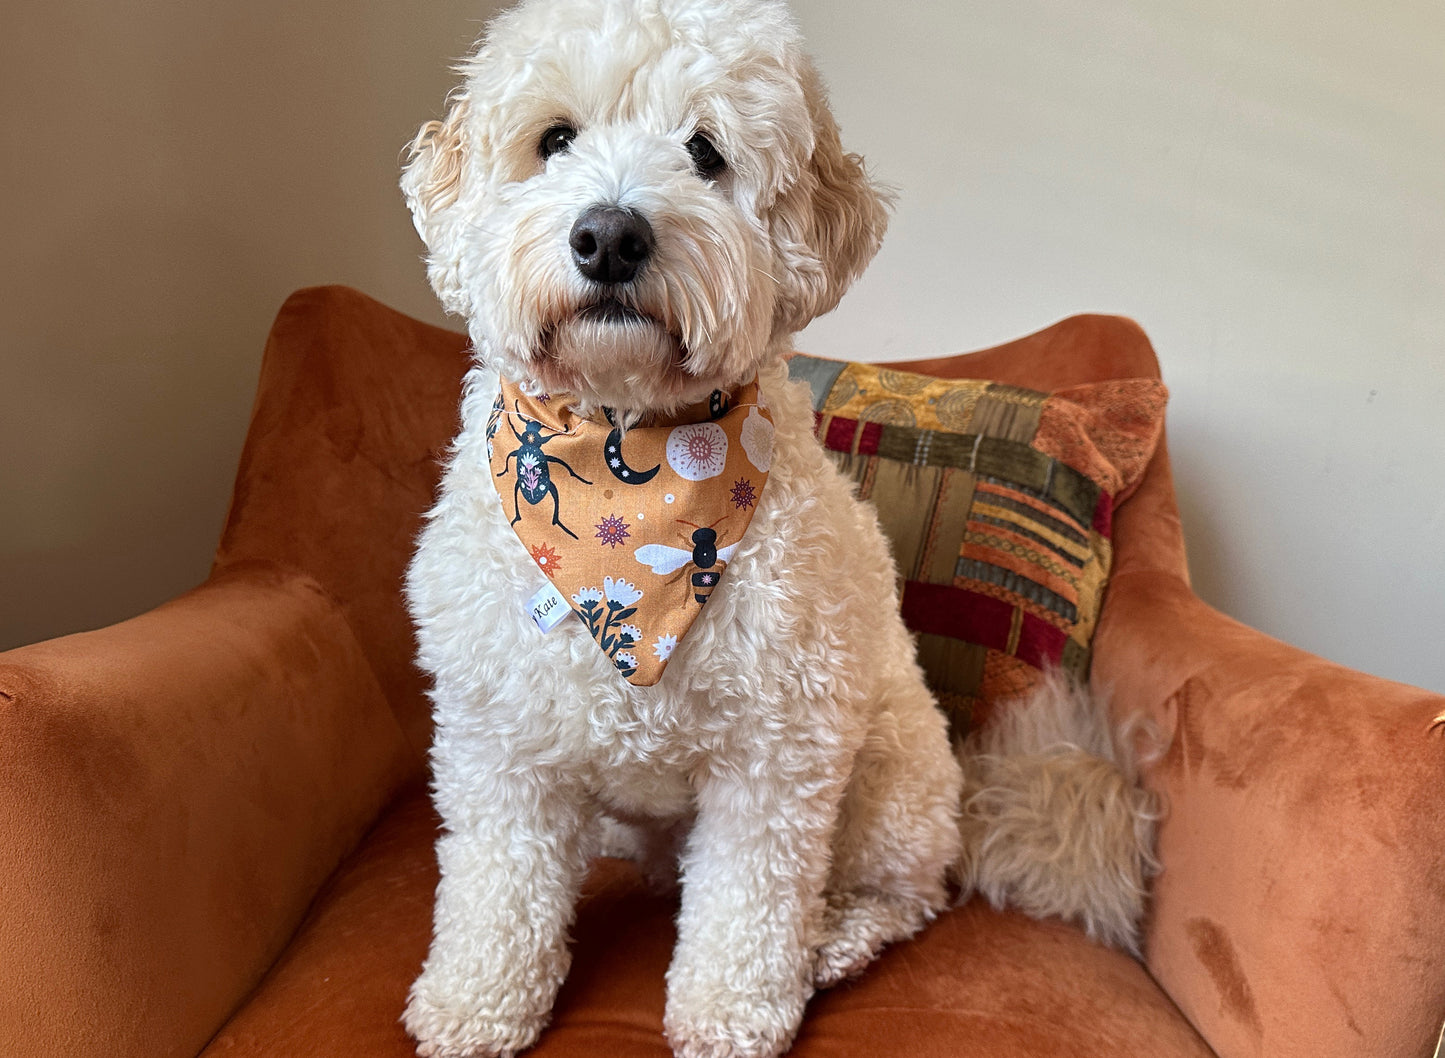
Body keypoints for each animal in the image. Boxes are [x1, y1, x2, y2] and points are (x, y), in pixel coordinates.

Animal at [401, 2, 1156, 1058]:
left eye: (705, 152)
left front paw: (730, 1013)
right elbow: (495, 886)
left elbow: (748, 905)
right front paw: (477, 1001)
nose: (609, 235)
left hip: (885, 773)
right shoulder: (500, 743)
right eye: (553, 140)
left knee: (904, 894)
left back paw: (833, 940)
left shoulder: (777, 753)